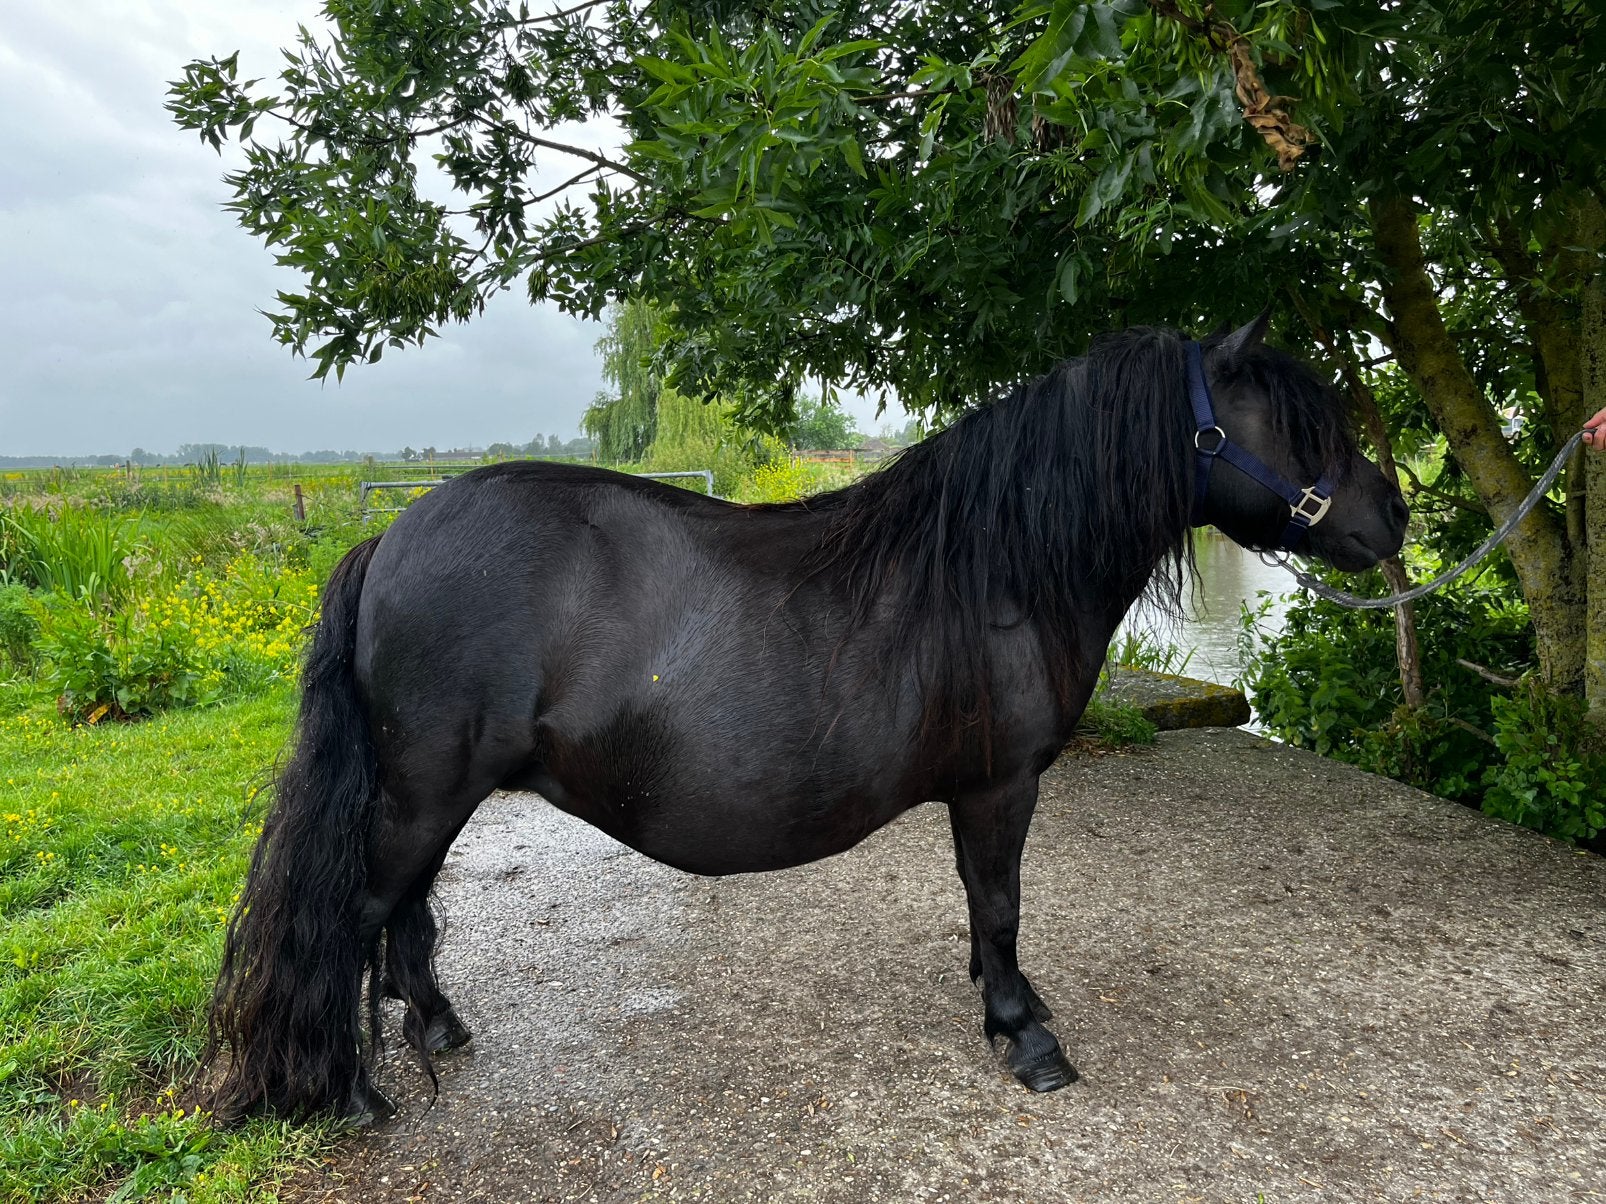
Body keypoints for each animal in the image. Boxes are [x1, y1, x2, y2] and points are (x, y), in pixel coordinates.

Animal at [200, 315, 1408, 1123]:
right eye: (1300, 426)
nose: (1394, 517)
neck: (995, 565)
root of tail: (389, 537)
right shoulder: (999, 784)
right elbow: (1000, 904)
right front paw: (1026, 1035)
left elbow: (987, 910)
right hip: (420, 791)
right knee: (356, 915)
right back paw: (352, 1094)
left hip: (436, 794)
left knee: (403, 914)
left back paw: (437, 1028)